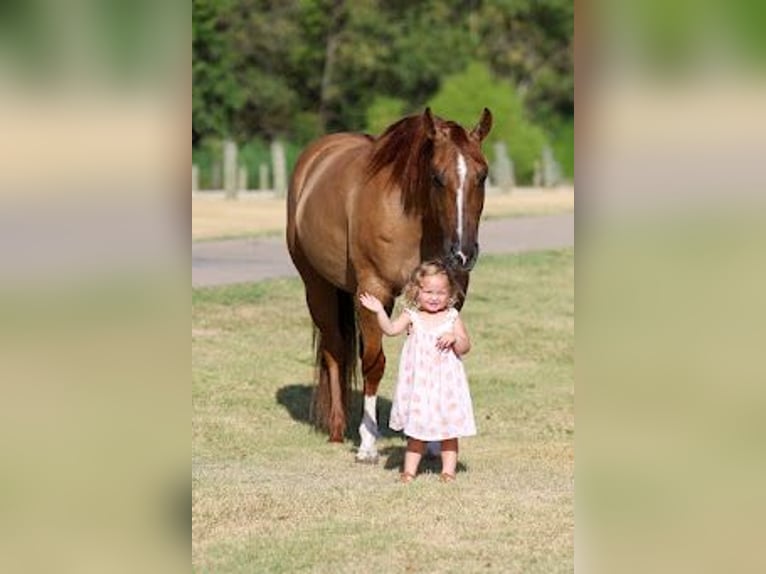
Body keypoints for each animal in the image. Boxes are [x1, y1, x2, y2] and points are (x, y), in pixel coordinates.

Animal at [286, 107, 492, 461]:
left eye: (483, 175)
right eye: (436, 176)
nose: (463, 254)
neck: (413, 219)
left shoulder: (450, 297)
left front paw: (434, 440)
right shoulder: (374, 291)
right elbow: (374, 364)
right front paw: (368, 444)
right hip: (318, 288)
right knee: (335, 351)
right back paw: (337, 428)